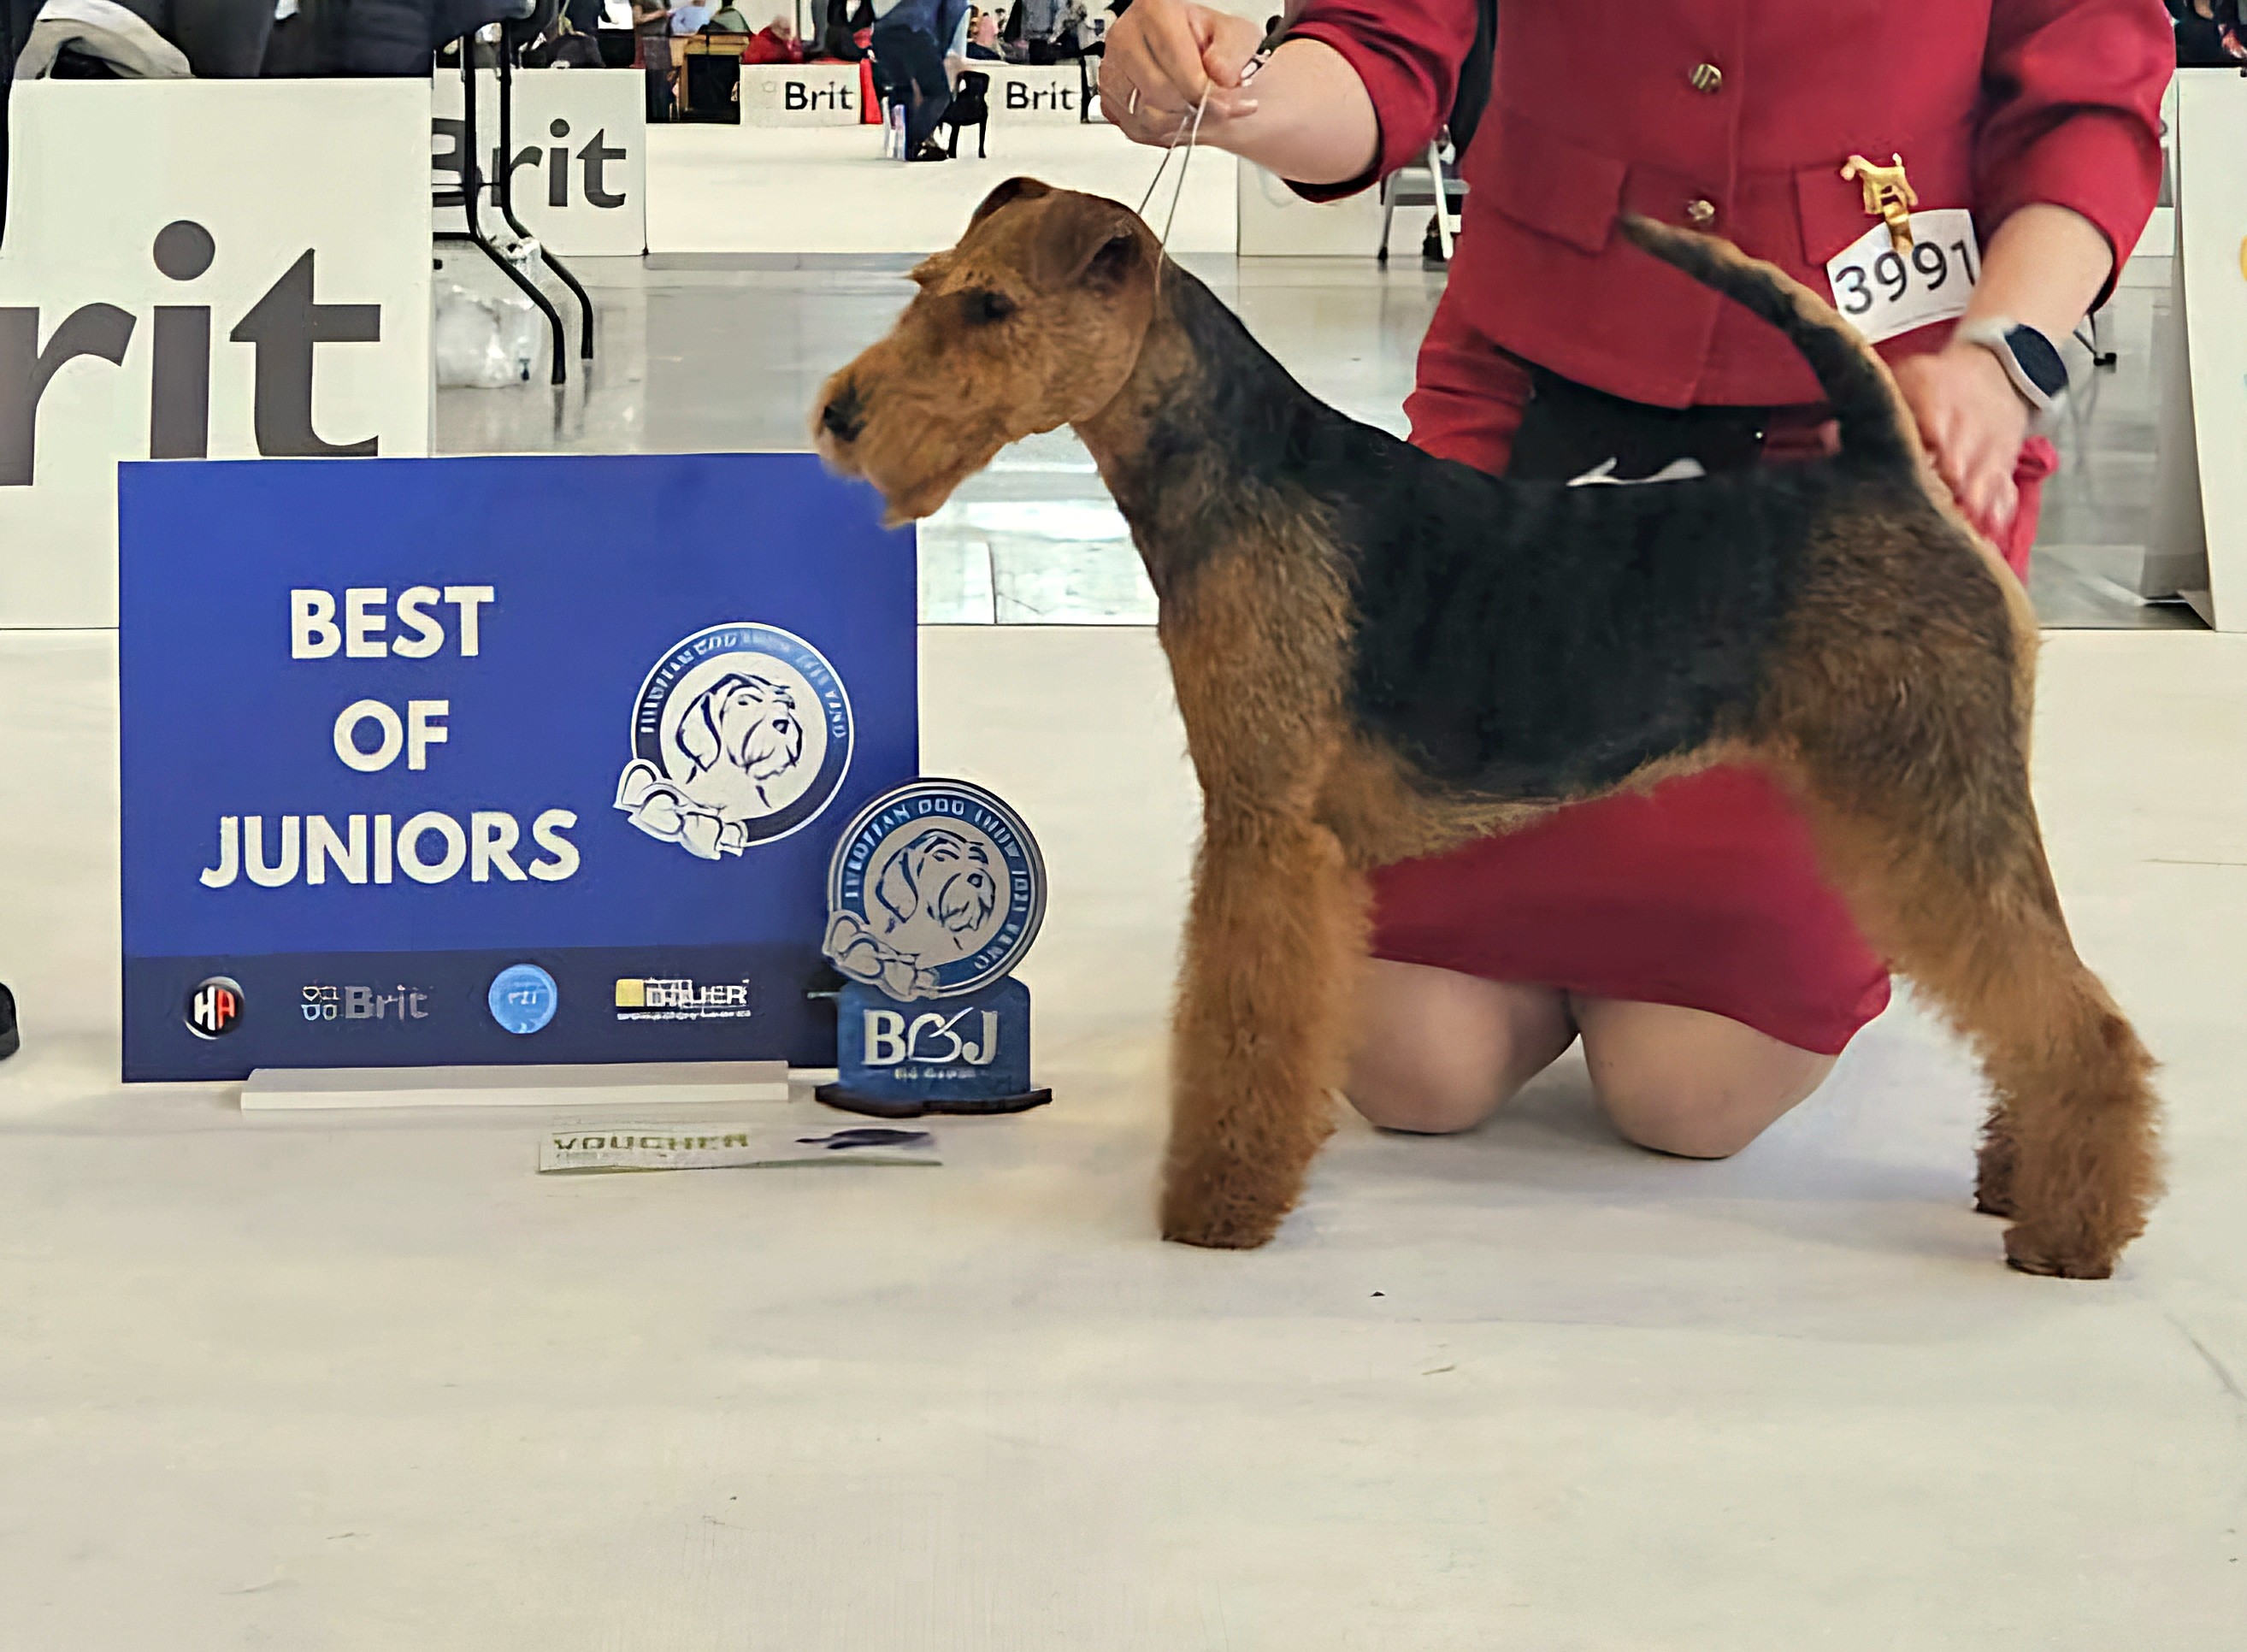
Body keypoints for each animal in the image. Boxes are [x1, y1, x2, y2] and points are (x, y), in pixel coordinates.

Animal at [813, 178, 2161, 1279]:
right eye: (929, 286)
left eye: (991, 307)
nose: (840, 415)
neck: (1240, 475)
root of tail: (1888, 471)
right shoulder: (1283, 836)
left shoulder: (1262, 823)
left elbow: (1240, 1023)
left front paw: (1217, 1208)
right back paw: (2016, 1181)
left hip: (1931, 800)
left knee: (2077, 1017)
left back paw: (2069, 1232)